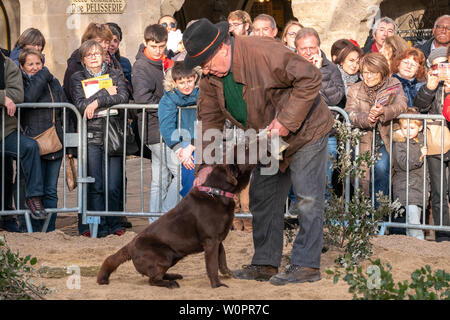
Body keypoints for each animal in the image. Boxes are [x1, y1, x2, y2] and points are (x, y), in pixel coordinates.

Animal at [96, 164, 253, 288]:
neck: (216, 192)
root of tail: (130, 245)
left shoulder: (218, 240)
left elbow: (222, 258)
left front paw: (228, 273)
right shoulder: (211, 241)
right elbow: (212, 265)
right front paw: (217, 285)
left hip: (173, 256)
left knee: (157, 276)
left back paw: (173, 276)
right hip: (164, 255)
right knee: (152, 280)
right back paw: (170, 283)